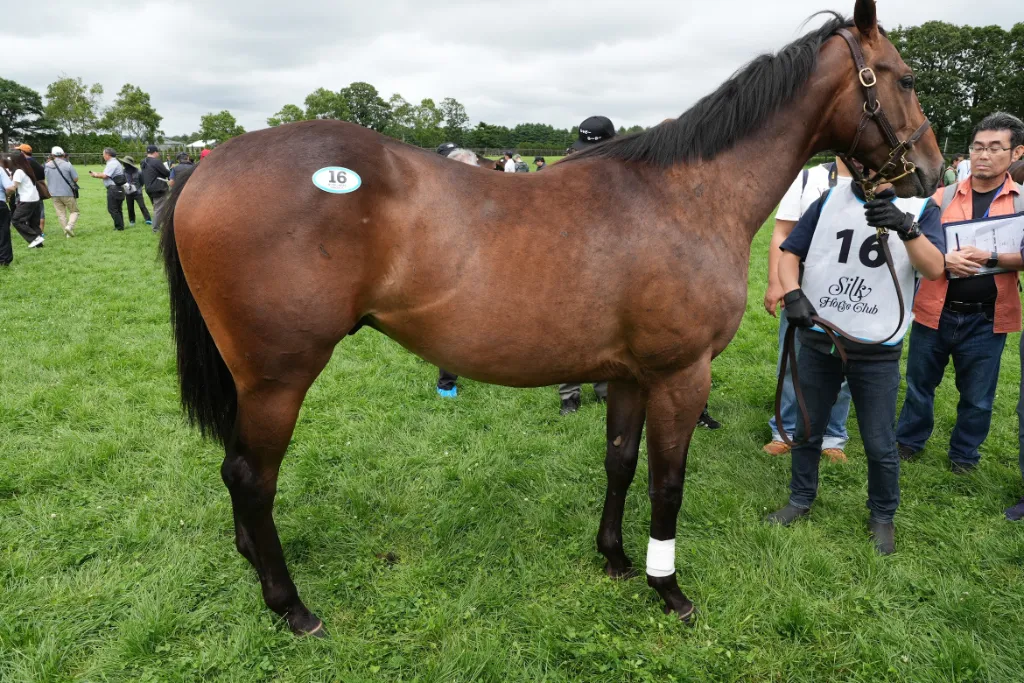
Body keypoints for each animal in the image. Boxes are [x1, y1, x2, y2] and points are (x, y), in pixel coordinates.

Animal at [160, 0, 942, 636]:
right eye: (904, 77)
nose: (930, 173)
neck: (688, 195)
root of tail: (204, 167)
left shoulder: (630, 374)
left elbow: (620, 460)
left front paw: (617, 558)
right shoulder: (681, 375)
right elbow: (668, 481)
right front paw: (669, 588)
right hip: (279, 378)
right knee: (251, 476)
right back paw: (291, 606)